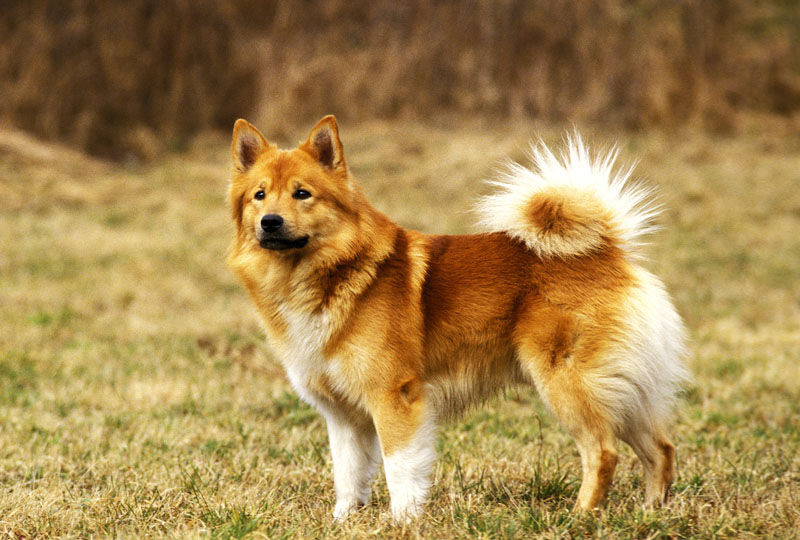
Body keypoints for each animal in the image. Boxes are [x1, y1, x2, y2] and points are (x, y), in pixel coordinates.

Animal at [225, 116, 688, 520]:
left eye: (302, 194)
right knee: (660, 449)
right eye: (259, 196)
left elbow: (399, 469)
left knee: (604, 453)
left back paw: (581, 516)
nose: (270, 222)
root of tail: (605, 250)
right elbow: (348, 475)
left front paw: (402, 521)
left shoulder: (395, 398)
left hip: (569, 383)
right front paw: (343, 521)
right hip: (622, 389)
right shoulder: (342, 415)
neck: (329, 274)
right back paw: (652, 513)